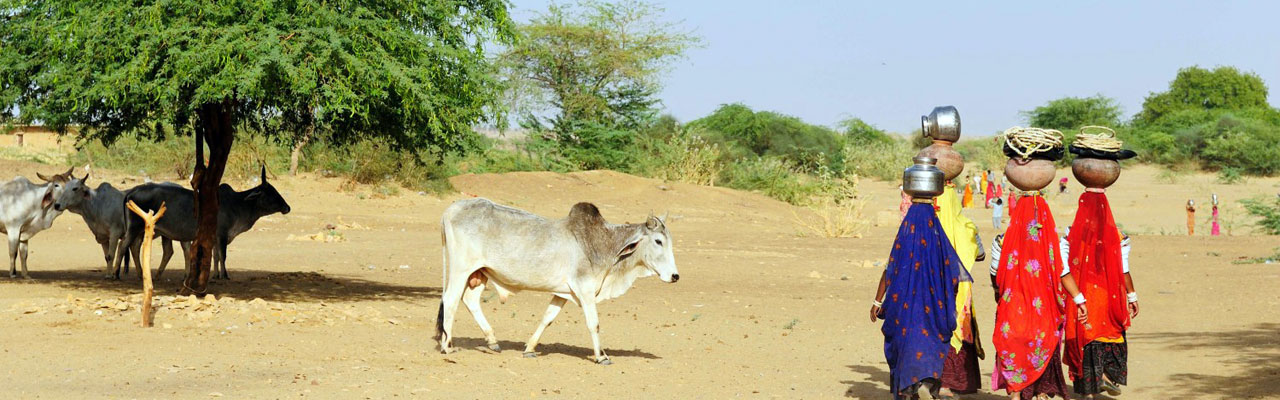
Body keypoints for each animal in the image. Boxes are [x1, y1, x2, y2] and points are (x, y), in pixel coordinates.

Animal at [122, 166, 293, 279]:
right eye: (271, 193)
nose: (287, 207)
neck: (237, 204)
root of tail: (132, 191)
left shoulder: (216, 238)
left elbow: (216, 256)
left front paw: (216, 275)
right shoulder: (222, 235)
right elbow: (223, 256)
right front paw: (225, 275)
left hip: (144, 231)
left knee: (136, 247)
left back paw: (142, 274)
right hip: (135, 228)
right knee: (126, 245)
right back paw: (120, 274)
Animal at [435, 198, 680, 364]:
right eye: (658, 241)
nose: (675, 276)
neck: (604, 245)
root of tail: (449, 210)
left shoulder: (563, 293)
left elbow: (547, 318)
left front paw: (529, 348)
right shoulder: (585, 289)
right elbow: (594, 323)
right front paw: (601, 356)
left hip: (480, 273)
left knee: (470, 300)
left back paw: (492, 341)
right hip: (461, 270)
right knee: (451, 299)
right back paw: (447, 346)